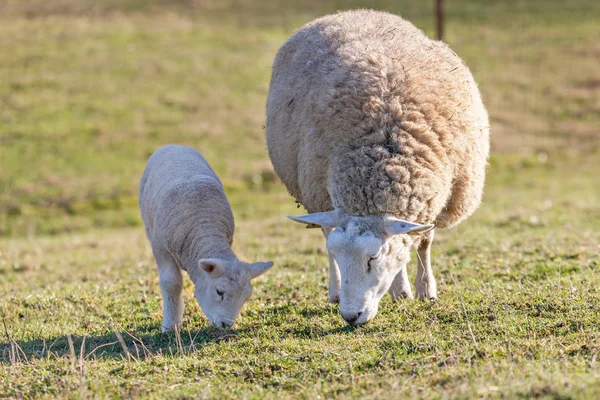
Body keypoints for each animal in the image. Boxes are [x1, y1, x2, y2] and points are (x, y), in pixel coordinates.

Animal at [139, 144, 274, 332]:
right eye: (219, 292)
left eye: (246, 297)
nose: (226, 324)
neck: (204, 229)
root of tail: (174, 145)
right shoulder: (160, 248)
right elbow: (172, 284)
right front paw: (170, 326)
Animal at [264, 10, 490, 328]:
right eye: (341, 255)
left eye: (373, 257)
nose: (350, 316)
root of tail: (349, 13)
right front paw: (403, 289)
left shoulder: (435, 197)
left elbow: (423, 243)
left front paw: (425, 290)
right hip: (318, 192)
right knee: (326, 230)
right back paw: (341, 291)